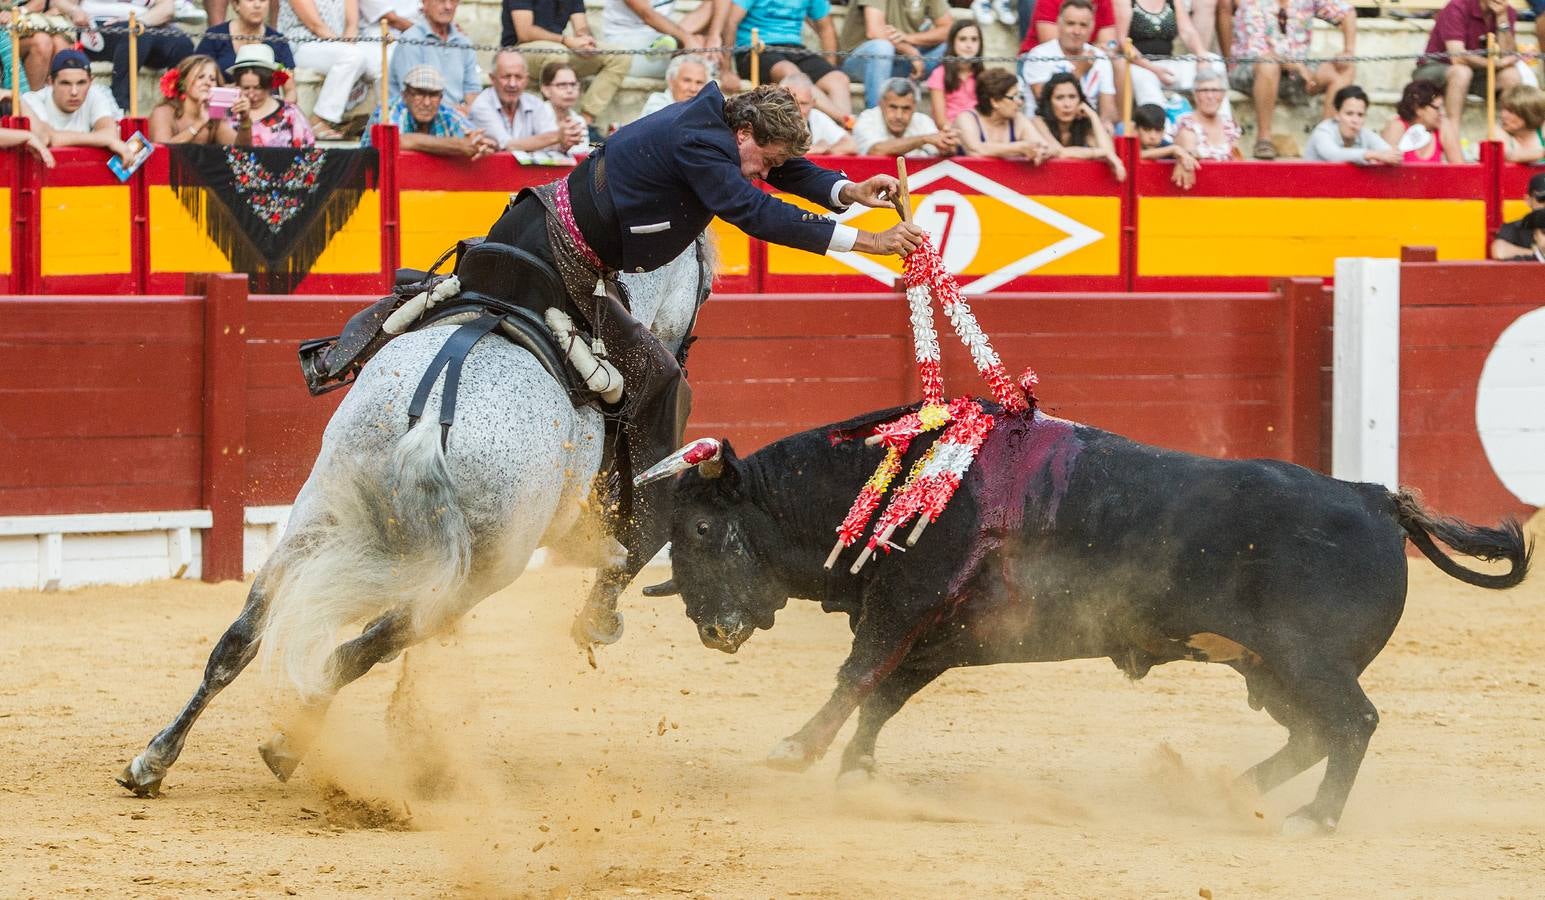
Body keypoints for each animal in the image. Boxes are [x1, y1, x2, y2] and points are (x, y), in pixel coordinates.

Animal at [115, 239, 710, 796]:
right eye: (704, 288)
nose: (686, 347)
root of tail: (432, 423)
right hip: (482, 571)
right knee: (363, 649)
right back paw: (289, 744)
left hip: (317, 512)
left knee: (243, 635)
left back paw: (153, 760)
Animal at [645, 404, 1526, 833]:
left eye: (700, 531)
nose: (712, 629)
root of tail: (1373, 497)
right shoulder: (941, 637)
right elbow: (883, 695)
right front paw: (856, 772)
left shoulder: (904, 606)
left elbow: (858, 675)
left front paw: (794, 750)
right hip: (1267, 668)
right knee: (1311, 733)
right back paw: (1223, 791)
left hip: (1308, 660)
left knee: (1351, 723)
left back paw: (1310, 818)